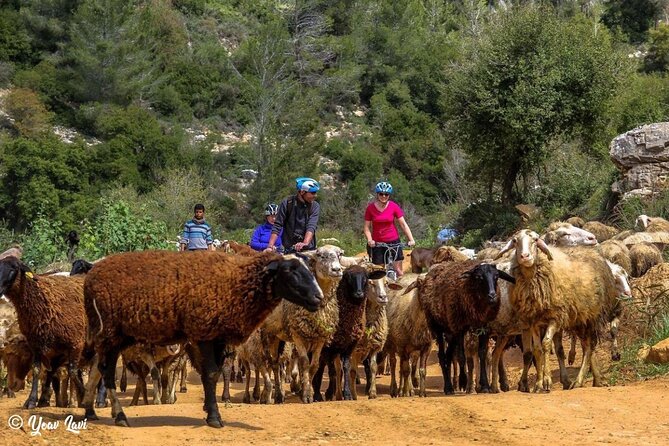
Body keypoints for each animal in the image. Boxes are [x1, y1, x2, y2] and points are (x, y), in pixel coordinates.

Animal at [0, 260, 86, 410]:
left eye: (13, 269)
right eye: (6, 359)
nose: (13, 385)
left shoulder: (74, 344)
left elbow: (69, 372)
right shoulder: (39, 346)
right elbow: (39, 370)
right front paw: (34, 400)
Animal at [81, 251, 320, 428]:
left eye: (310, 269)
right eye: (289, 270)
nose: (319, 297)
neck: (236, 282)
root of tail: (90, 278)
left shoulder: (218, 337)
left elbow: (213, 373)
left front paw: (208, 408)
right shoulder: (205, 332)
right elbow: (211, 373)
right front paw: (214, 417)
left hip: (114, 336)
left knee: (98, 370)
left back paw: (93, 410)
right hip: (109, 332)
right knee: (106, 372)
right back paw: (119, 415)